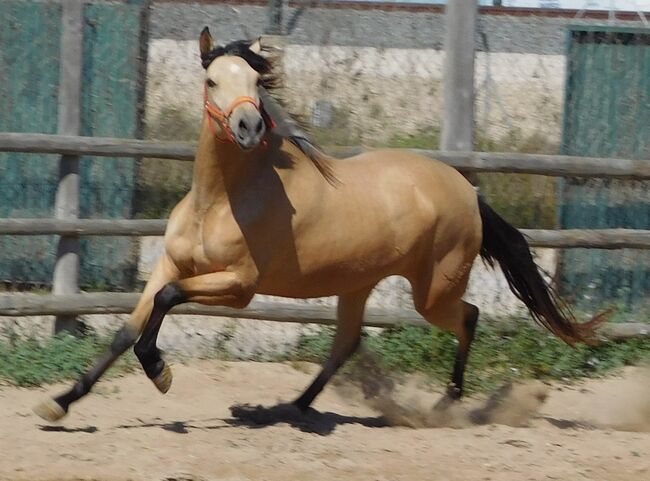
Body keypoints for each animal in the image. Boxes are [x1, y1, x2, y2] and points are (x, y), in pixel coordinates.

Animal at [35, 28, 604, 422]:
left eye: (255, 81)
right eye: (211, 79)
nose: (249, 126)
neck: (218, 202)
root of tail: (468, 191)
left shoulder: (239, 286)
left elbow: (168, 301)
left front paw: (160, 371)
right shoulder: (171, 264)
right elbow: (127, 328)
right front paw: (59, 403)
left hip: (433, 291)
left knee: (468, 316)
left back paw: (446, 406)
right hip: (358, 284)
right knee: (347, 344)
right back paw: (292, 407)